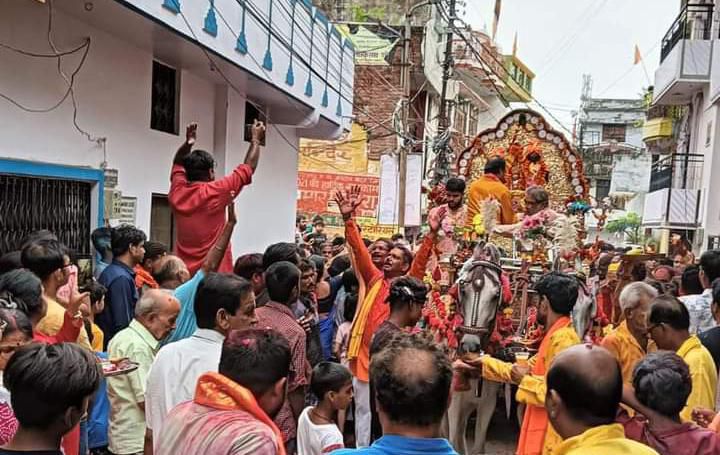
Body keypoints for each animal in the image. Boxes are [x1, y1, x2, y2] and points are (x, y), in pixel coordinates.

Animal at [448, 246, 504, 455]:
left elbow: (478, 445)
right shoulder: (453, 401)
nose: (469, 346)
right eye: (463, 290)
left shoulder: (488, 402)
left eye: (496, 295)